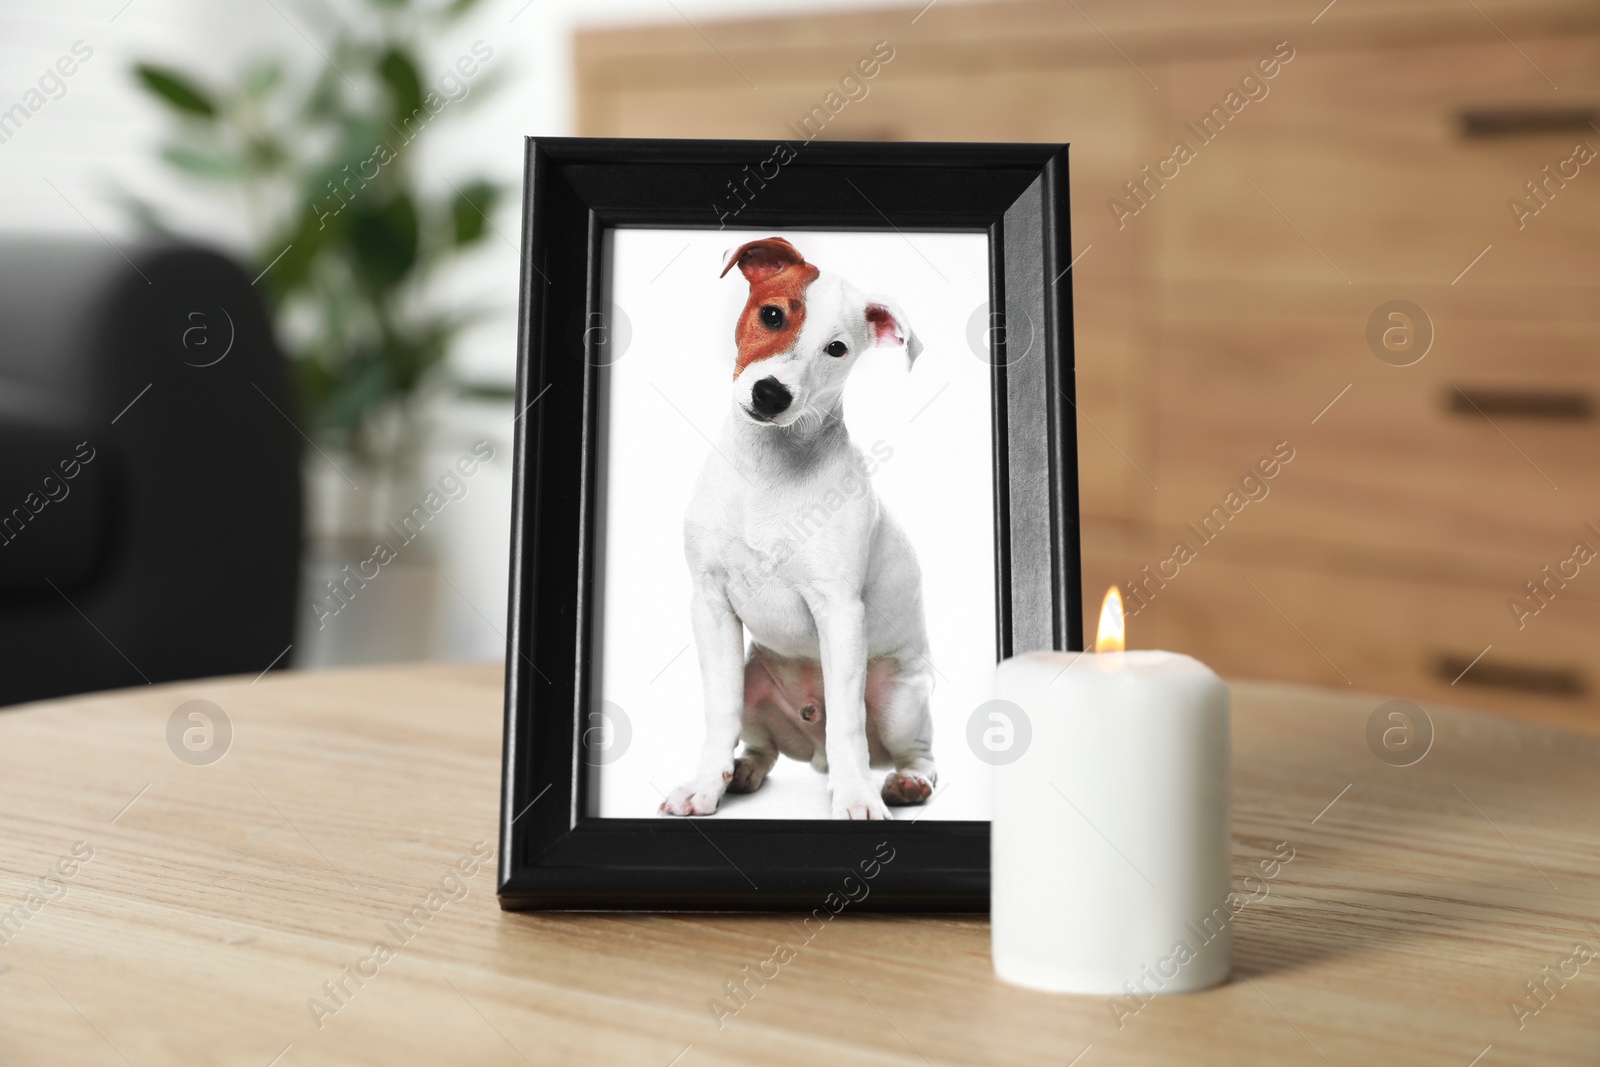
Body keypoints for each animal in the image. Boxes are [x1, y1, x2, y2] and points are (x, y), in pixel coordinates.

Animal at [662, 238, 934, 825]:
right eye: (772, 315)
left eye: (836, 349)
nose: (771, 393)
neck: (768, 470)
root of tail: (812, 750)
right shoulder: (710, 605)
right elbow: (718, 710)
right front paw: (704, 786)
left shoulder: (840, 613)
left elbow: (848, 724)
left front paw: (857, 798)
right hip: (755, 683)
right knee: (761, 745)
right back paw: (741, 771)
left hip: (900, 699)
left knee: (914, 749)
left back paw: (904, 783)